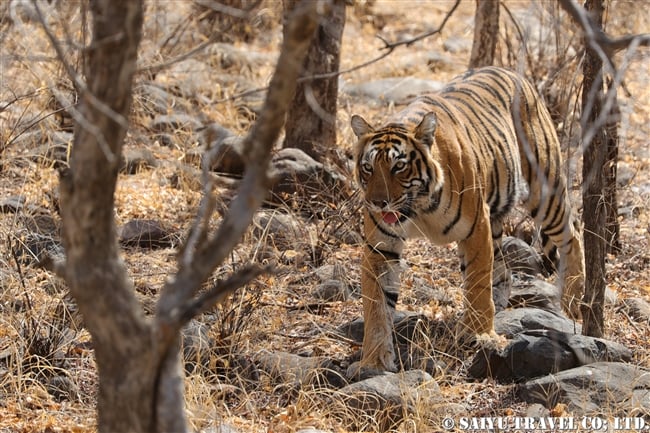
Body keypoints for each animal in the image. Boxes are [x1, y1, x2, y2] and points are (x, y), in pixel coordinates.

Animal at [352, 66, 584, 372]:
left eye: (398, 166)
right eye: (368, 167)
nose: (378, 203)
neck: (418, 208)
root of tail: (513, 73)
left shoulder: (476, 227)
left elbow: (476, 281)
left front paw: (477, 332)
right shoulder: (381, 247)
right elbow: (376, 304)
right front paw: (375, 359)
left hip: (544, 191)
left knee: (573, 236)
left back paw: (575, 299)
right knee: (503, 270)